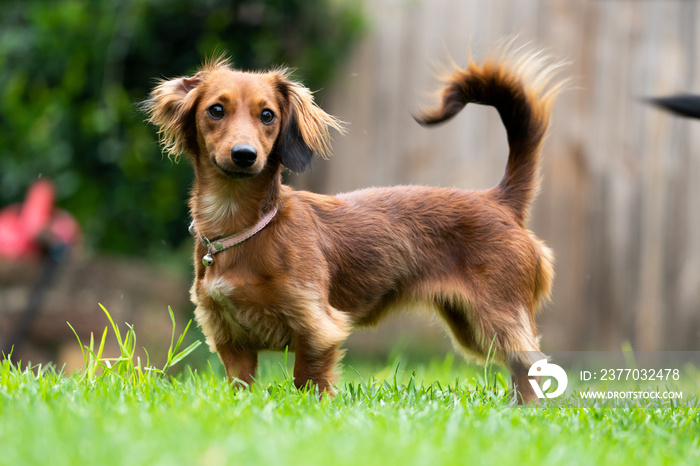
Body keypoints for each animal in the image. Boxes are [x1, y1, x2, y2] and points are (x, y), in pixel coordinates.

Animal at [144, 47, 564, 404]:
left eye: (267, 116)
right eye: (216, 110)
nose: (244, 155)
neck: (243, 226)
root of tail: (499, 200)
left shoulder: (317, 327)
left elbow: (308, 380)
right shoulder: (231, 341)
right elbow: (241, 387)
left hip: (498, 316)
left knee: (530, 365)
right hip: (471, 326)